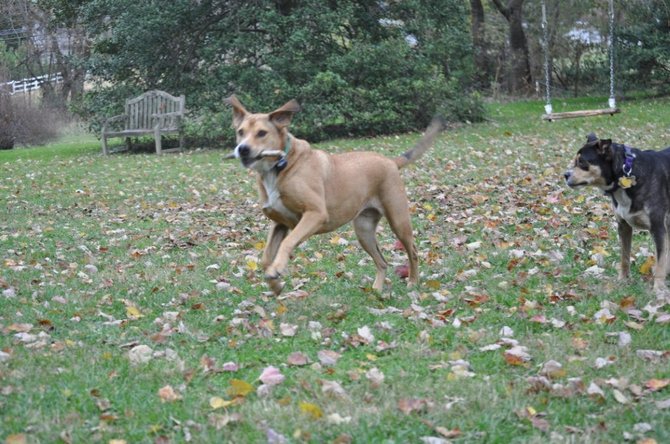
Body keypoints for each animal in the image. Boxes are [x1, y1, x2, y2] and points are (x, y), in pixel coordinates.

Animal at [227, 93, 446, 294]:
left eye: (262, 133)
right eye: (240, 132)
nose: (242, 149)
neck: (280, 167)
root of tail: (391, 162)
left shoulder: (314, 214)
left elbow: (287, 243)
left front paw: (277, 270)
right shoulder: (280, 223)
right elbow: (265, 258)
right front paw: (275, 284)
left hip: (398, 220)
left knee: (413, 251)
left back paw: (412, 282)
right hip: (364, 230)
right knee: (382, 261)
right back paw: (376, 290)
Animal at [568, 134, 670, 296]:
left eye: (582, 162)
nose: (565, 175)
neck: (627, 172)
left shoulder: (658, 228)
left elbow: (660, 261)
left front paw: (659, 288)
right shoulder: (624, 226)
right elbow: (624, 257)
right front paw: (623, 280)